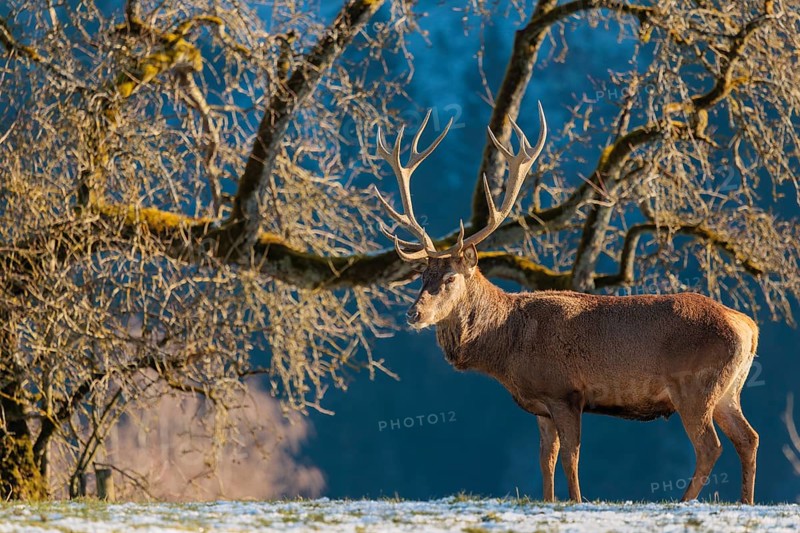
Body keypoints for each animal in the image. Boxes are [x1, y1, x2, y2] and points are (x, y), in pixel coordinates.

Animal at [372, 104, 760, 504]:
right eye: (422, 277)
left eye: (450, 278)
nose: (413, 313)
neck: (508, 345)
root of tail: (749, 327)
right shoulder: (541, 406)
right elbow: (547, 459)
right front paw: (549, 499)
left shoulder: (565, 392)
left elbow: (571, 457)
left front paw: (576, 500)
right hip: (730, 389)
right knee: (748, 438)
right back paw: (745, 501)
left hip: (697, 386)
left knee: (710, 446)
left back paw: (684, 501)